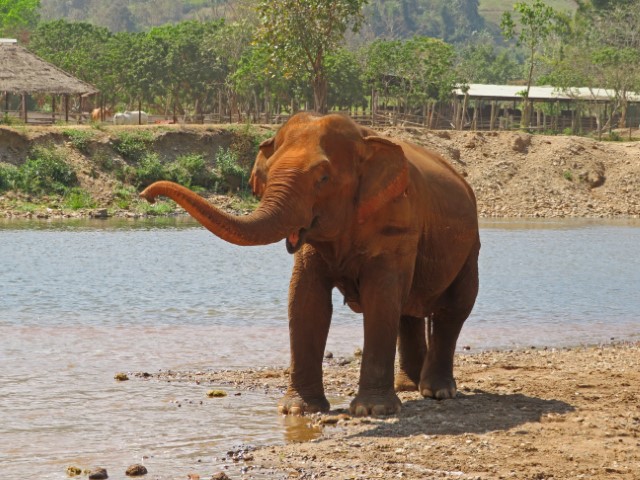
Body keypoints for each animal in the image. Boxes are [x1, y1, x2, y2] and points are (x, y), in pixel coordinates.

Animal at [141, 112, 480, 416]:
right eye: (267, 175)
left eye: (323, 179)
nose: (147, 195)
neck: (364, 139)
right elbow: (306, 300)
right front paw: (297, 410)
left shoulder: (397, 224)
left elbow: (380, 298)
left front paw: (373, 411)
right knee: (407, 311)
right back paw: (409, 387)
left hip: (470, 246)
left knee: (453, 308)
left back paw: (437, 391)